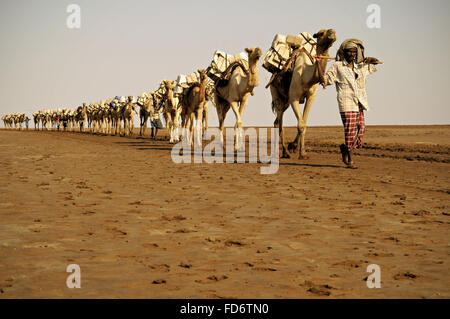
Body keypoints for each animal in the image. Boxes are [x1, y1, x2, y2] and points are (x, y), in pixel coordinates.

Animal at [268, 28, 336, 159]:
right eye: (321, 33)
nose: (333, 33)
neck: (307, 76)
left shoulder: (311, 97)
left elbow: (304, 123)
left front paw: (298, 148)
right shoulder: (294, 97)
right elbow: (301, 124)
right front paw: (299, 152)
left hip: (286, 101)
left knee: (276, 122)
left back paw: (285, 151)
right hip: (275, 92)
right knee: (279, 121)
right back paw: (284, 152)